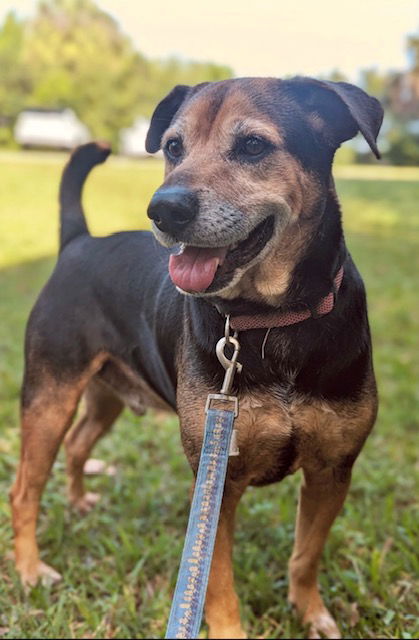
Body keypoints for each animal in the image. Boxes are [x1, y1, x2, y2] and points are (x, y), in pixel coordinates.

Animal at [9, 77, 384, 636]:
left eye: (253, 145)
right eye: (172, 147)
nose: (164, 209)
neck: (270, 321)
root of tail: (78, 242)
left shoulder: (332, 469)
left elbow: (306, 555)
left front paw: (311, 612)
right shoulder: (216, 481)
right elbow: (216, 584)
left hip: (106, 396)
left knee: (77, 446)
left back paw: (78, 503)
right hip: (50, 396)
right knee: (25, 489)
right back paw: (31, 570)